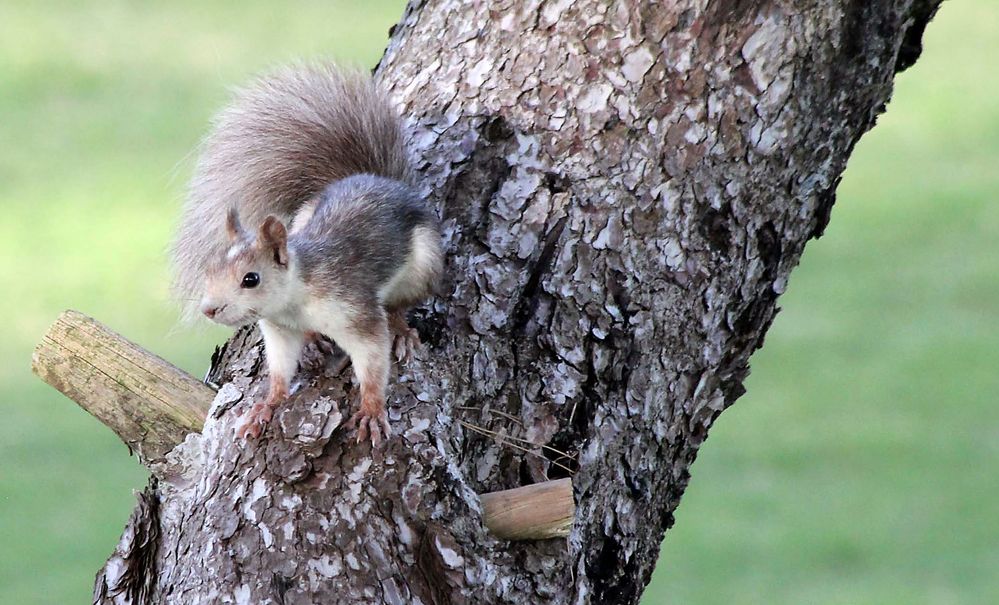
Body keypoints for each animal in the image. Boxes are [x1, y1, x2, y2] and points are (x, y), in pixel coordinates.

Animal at [171, 63, 442, 444]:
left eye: (251, 279)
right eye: (209, 270)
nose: (210, 309)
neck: (294, 302)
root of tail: (378, 181)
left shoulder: (354, 311)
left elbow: (373, 360)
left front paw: (372, 411)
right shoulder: (279, 331)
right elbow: (279, 371)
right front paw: (267, 405)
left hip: (424, 264)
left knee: (400, 304)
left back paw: (402, 331)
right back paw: (314, 342)